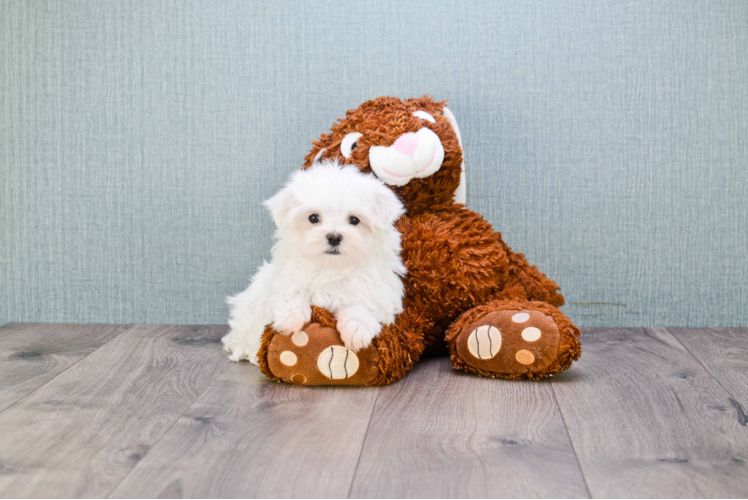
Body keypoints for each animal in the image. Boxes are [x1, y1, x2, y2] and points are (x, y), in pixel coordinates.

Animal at [222, 160, 406, 364]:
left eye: (354, 220)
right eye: (313, 218)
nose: (334, 236)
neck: (331, 268)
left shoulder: (376, 289)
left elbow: (365, 305)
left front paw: (357, 327)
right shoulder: (286, 277)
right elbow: (291, 293)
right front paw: (291, 315)